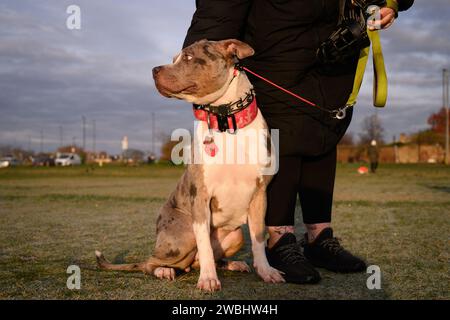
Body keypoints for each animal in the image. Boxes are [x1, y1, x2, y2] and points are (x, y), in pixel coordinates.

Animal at [95, 38, 284, 292]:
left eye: (188, 57)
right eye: (175, 58)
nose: (154, 70)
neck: (226, 120)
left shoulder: (259, 195)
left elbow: (258, 239)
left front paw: (265, 271)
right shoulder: (200, 197)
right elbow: (204, 245)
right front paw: (208, 279)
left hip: (235, 236)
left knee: (203, 258)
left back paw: (231, 264)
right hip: (183, 234)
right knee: (152, 262)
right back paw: (165, 270)